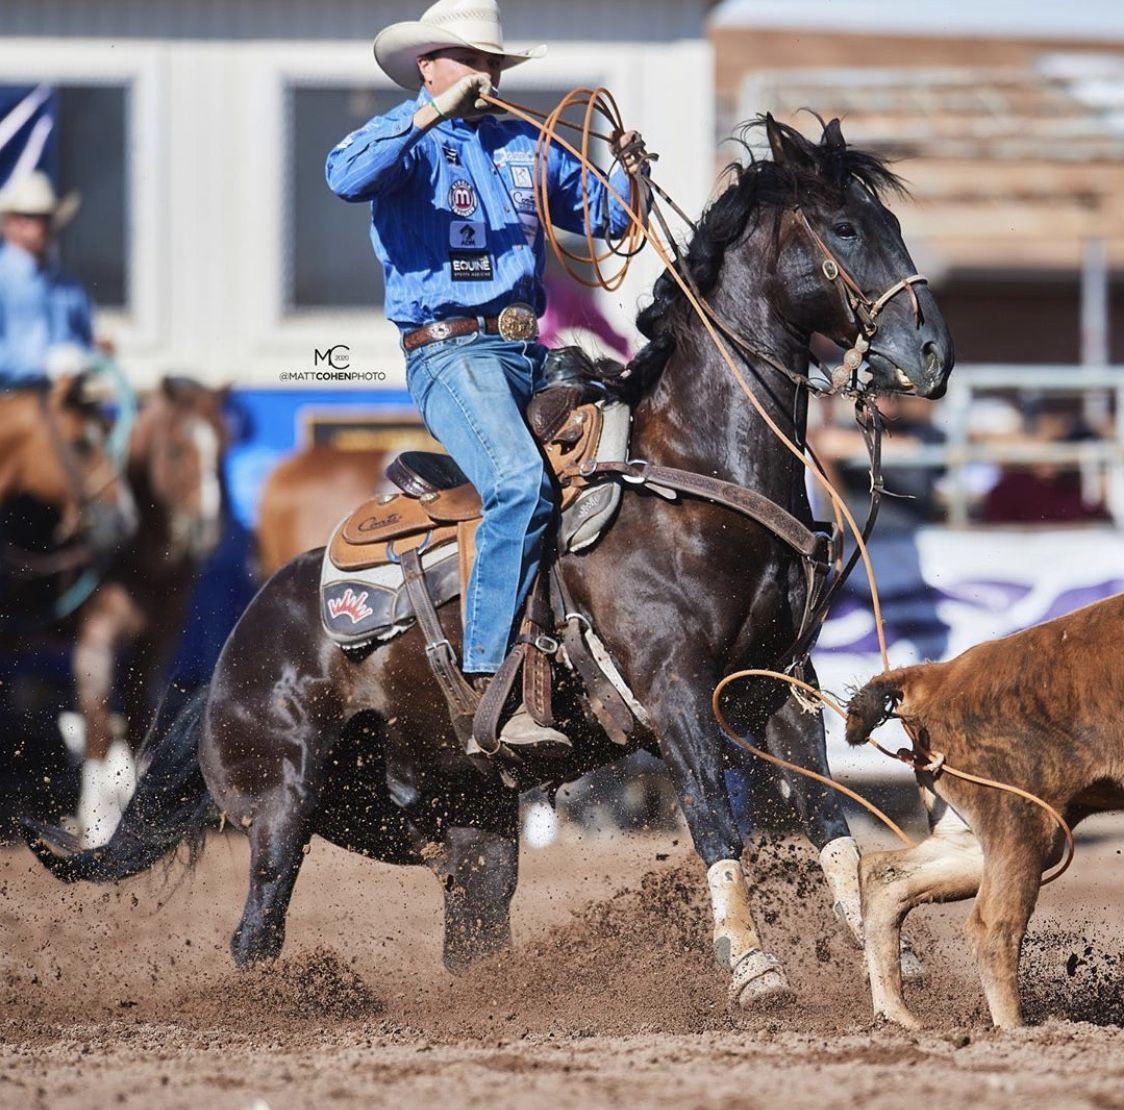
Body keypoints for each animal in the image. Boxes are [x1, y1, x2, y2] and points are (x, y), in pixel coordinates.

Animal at [26, 116, 953, 1011]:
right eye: (844, 227)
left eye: (893, 224)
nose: (932, 352)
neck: (694, 478)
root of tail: (233, 648)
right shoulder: (674, 690)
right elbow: (713, 821)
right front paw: (756, 971)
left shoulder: (780, 684)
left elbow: (830, 822)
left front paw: (886, 962)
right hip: (282, 803)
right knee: (258, 927)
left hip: (456, 812)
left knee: (467, 918)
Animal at [845, 593, 1124, 1029]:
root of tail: (939, 675)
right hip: (1020, 819)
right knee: (993, 926)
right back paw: (1014, 1028)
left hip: (974, 836)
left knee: (885, 879)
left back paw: (897, 1015)